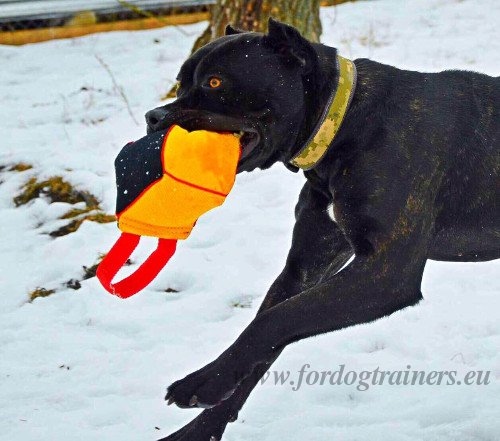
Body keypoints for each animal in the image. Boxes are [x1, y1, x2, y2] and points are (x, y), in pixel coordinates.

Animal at [146, 18, 500, 440]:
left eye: (215, 82)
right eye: (181, 83)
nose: (152, 117)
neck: (344, 124)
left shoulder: (385, 272)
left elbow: (273, 321)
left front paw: (204, 382)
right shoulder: (306, 268)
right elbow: (266, 339)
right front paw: (202, 425)